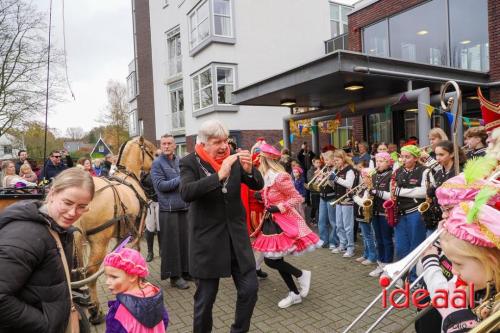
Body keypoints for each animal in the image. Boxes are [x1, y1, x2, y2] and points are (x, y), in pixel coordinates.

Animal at [73, 134, 156, 322]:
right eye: (152, 151)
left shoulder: (123, 232)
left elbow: (123, 253)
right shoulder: (137, 228)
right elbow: (136, 250)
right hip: (99, 241)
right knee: (90, 273)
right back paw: (95, 311)